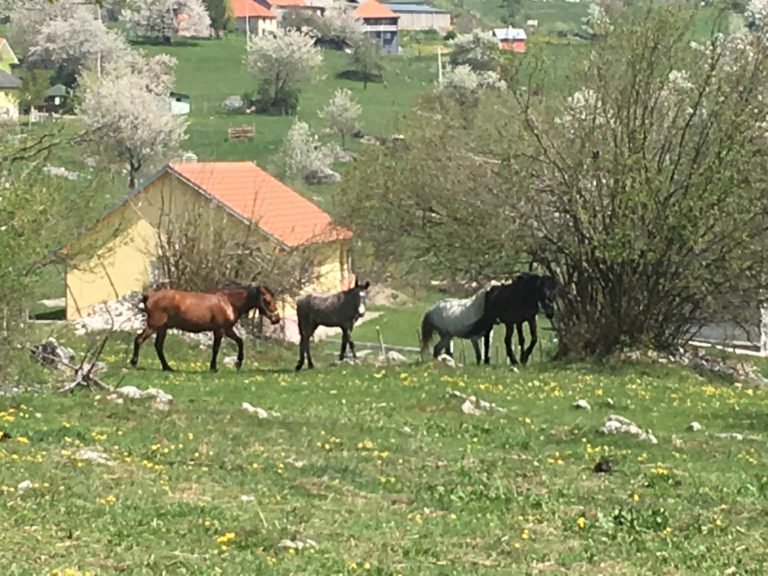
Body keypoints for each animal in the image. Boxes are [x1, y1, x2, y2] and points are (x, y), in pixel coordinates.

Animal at [130, 284, 280, 374]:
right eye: (267, 301)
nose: (277, 319)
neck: (228, 302)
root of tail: (149, 296)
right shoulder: (219, 330)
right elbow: (216, 349)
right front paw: (213, 368)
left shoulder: (227, 329)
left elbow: (240, 342)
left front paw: (238, 363)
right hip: (153, 326)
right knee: (139, 340)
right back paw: (134, 363)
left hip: (162, 328)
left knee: (158, 346)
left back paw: (167, 367)